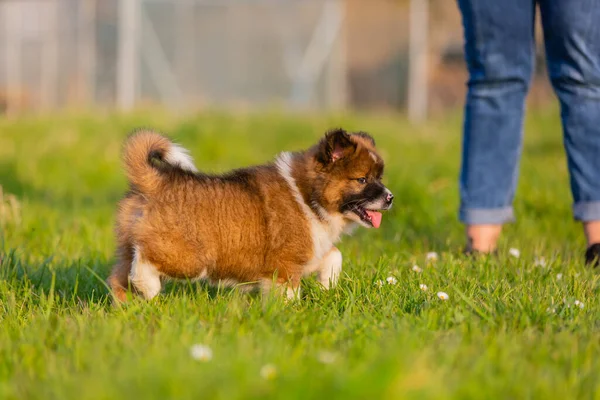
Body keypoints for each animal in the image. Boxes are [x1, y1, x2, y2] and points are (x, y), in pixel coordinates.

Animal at [108, 128, 394, 300]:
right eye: (362, 179)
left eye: (380, 178)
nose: (390, 198)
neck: (308, 195)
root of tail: (153, 180)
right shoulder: (286, 264)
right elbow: (289, 292)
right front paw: (290, 314)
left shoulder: (311, 250)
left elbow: (334, 255)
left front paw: (328, 286)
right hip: (189, 257)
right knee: (144, 261)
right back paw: (149, 288)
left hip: (128, 248)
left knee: (118, 278)